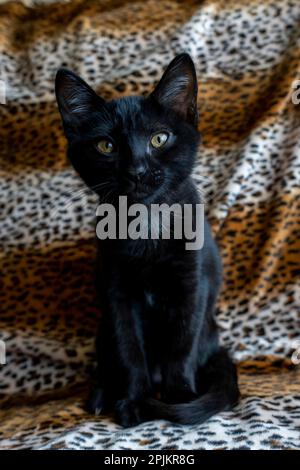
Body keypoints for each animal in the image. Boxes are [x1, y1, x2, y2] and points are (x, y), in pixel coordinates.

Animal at [55, 54, 239, 426]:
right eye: (106, 146)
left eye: (159, 139)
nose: (137, 170)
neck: (148, 222)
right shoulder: (118, 291)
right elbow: (129, 349)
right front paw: (134, 400)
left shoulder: (191, 284)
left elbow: (182, 344)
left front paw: (179, 396)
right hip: (102, 329)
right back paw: (101, 396)